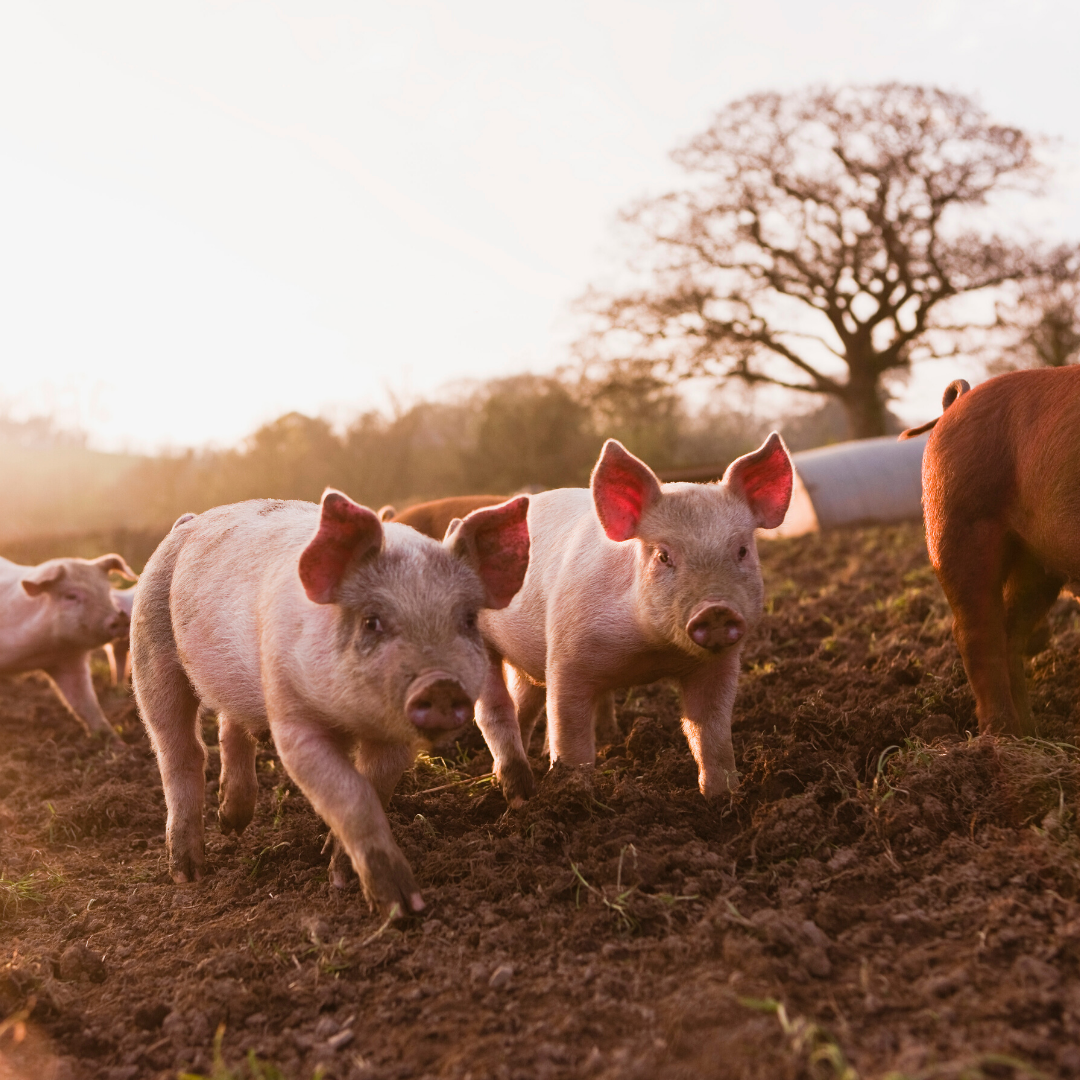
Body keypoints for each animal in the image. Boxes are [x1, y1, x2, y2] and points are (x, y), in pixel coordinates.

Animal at [0, 552, 139, 738]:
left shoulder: (69, 661)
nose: (120, 618)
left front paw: (116, 741)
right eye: (71, 596)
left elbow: (86, 706)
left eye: (107, 592)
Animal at [132, 490, 529, 911]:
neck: (351, 719)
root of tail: (188, 522)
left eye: (468, 620)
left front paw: (341, 872)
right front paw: (399, 905)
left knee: (230, 727)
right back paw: (187, 874)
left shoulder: (394, 737)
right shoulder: (293, 719)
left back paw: (232, 824)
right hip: (149, 651)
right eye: (372, 621)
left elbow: (374, 788)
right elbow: (350, 793)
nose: (441, 684)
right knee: (180, 752)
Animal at [473, 434, 794, 807]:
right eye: (663, 555)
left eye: (742, 550)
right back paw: (518, 793)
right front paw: (574, 794)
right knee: (495, 710)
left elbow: (710, 730)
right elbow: (571, 735)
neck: (652, 652)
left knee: (524, 705)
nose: (715, 609)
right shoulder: (567, 657)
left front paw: (723, 797)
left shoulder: (719, 665)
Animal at [907, 367, 1080, 738]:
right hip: (958, 525)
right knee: (975, 630)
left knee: (1010, 632)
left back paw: (1031, 734)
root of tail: (958, 402)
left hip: (1035, 561)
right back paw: (999, 734)